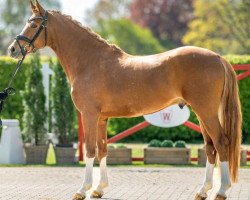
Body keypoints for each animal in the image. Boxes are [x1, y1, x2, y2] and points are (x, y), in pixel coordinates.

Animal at [8, 1, 241, 200]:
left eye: (34, 24)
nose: (12, 49)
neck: (90, 61)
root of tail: (218, 58)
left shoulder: (89, 115)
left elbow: (90, 150)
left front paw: (83, 190)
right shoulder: (102, 119)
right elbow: (102, 149)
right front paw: (99, 189)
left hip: (206, 112)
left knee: (221, 142)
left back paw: (221, 190)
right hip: (202, 114)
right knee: (210, 147)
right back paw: (203, 191)